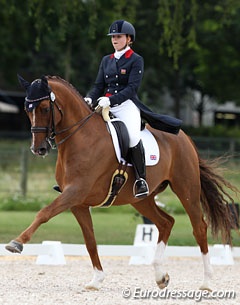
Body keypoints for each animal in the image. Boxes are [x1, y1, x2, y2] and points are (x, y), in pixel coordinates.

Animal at [5, 75, 238, 288]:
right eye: (27, 109)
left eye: (45, 108)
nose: (39, 149)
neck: (82, 138)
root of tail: (185, 138)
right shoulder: (78, 203)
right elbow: (90, 240)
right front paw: (97, 279)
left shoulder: (75, 192)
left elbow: (44, 213)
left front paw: (16, 243)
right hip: (141, 199)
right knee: (166, 222)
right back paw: (160, 276)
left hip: (186, 189)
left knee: (199, 227)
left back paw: (206, 282)